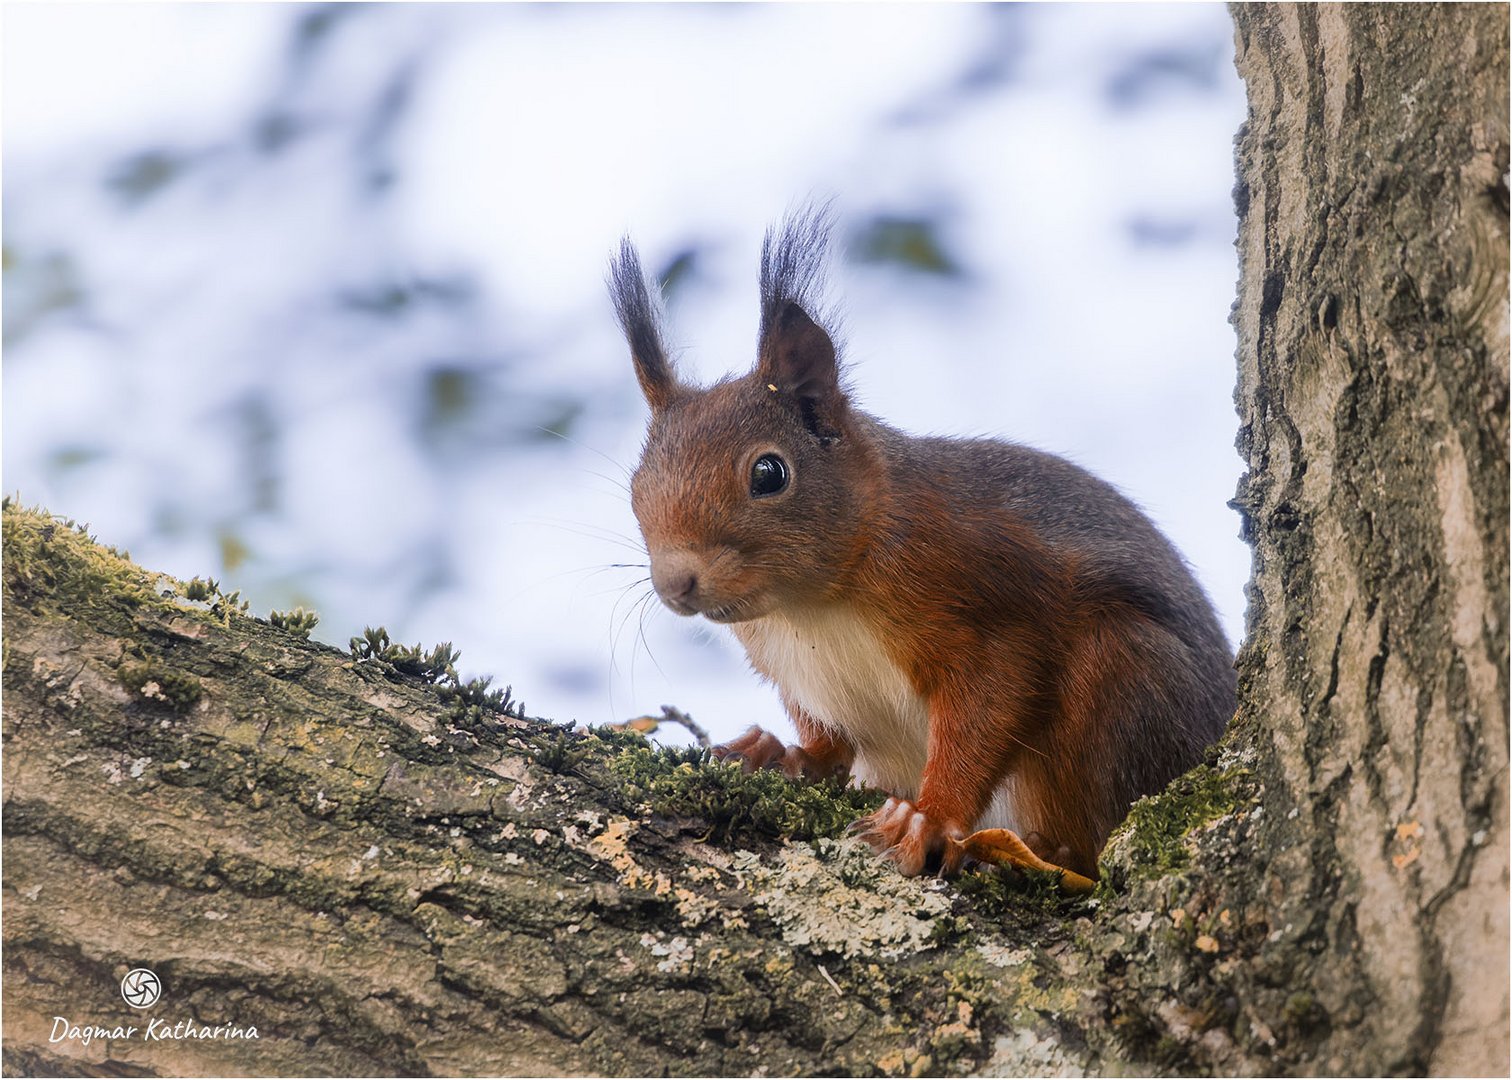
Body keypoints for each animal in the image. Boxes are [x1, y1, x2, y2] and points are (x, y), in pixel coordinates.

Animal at [607, 204, 1233, 877]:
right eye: (636, 484)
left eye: (769, 473)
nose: (675, 583)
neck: (812, 606)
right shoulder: (796, 670)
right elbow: (827, 741)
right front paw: (781, 752)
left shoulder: (983, 598)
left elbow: (986, 708)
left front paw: (928, 818)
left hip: (1124, 673)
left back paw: (1051, 849)